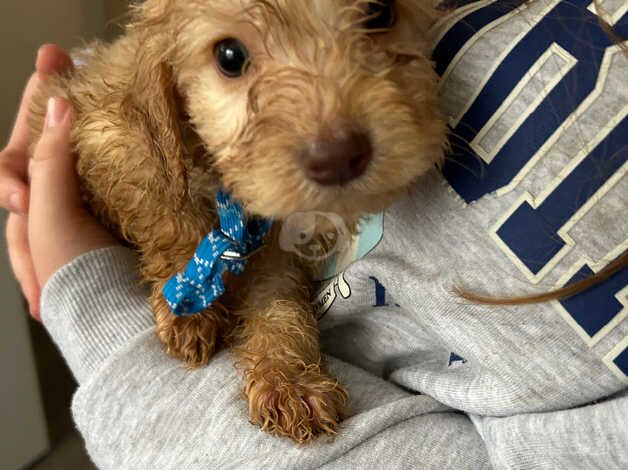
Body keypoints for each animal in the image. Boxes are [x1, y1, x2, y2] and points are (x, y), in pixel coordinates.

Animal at [30, 0, 446, 442]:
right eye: (230, 56)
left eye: (379, 12)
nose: (338, 157)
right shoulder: (109, 138)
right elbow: (168, 210)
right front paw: (189, 303)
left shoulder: (283, 239)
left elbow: (277, 297)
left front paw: (288, 376)